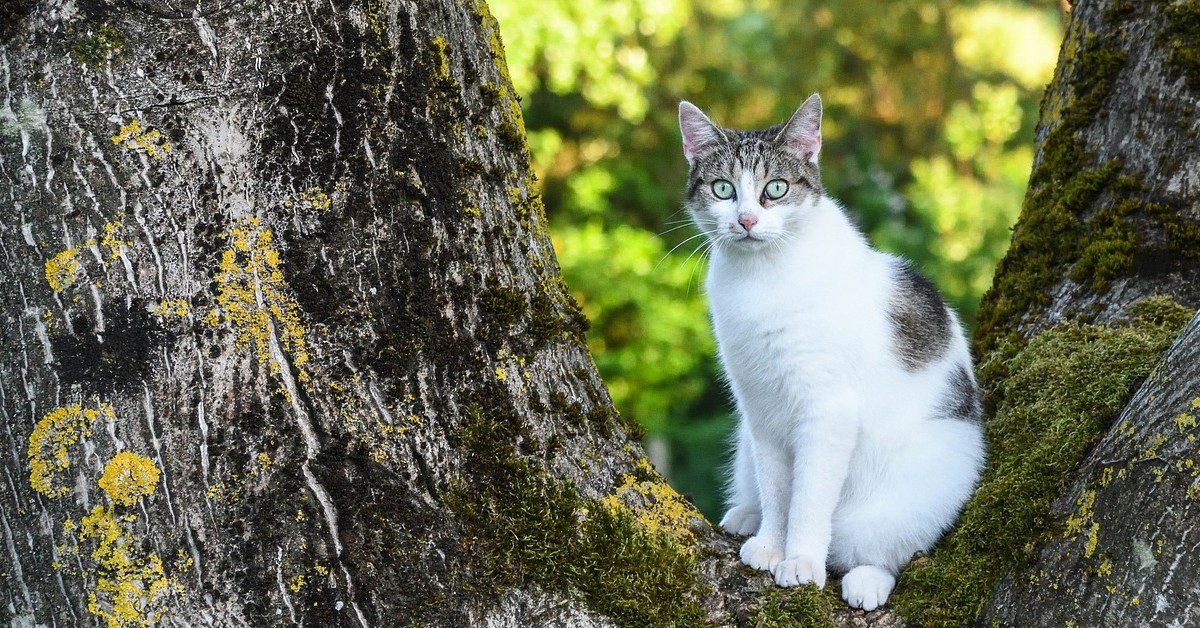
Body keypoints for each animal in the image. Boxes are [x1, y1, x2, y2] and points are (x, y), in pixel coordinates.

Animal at [676, 94, 984, 614]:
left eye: (775, 189)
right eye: (722, 189)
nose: (747, 221)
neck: (761, 277)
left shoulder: (827, 411)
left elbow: (808, 498)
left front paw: (799, 560)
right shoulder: (760, 409)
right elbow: (778, 489)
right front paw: (770, 544)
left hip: (922, 484)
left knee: (886, 549)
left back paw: (866, 580)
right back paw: (745, 515)